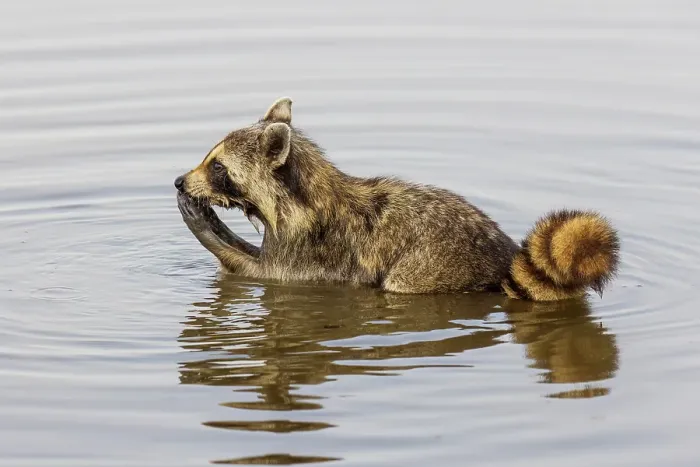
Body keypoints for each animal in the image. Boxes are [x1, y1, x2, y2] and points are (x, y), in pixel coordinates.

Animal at [175, 97, 620, 301]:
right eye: (210, 157)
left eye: (218, 167)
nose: (180, 181)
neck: (304, 190)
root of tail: (506, 255)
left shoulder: (313, 250)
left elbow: (263, 273)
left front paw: (208, 228)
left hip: (430, 268)